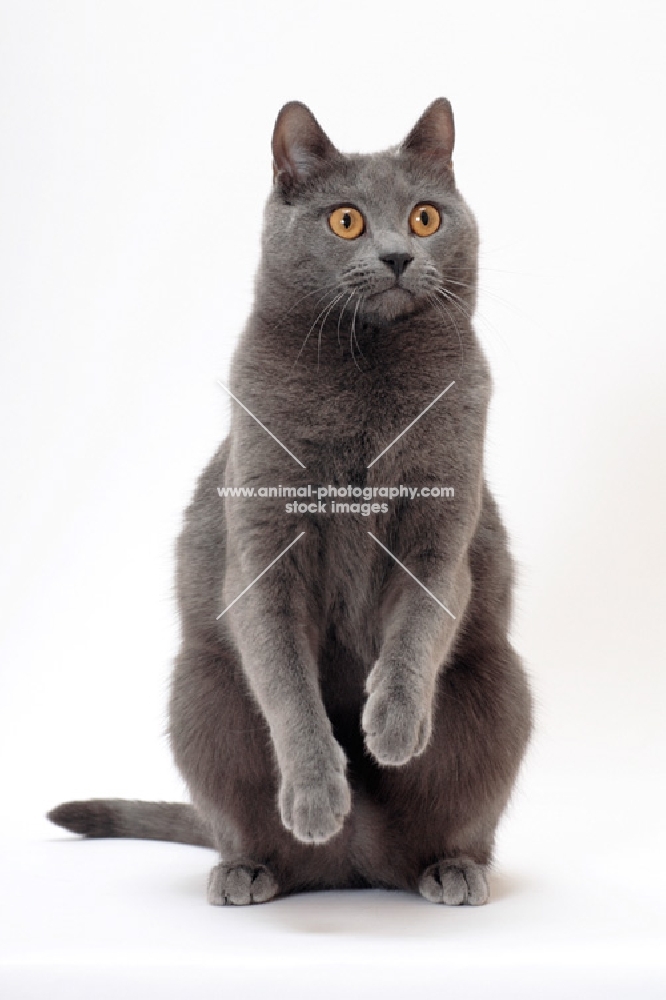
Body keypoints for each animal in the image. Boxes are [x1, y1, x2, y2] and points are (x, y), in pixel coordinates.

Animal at [49, 95, 532, 908]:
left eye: (426, 216)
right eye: (346, 221)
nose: (398, 255)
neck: (367, 371)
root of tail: (358, 866)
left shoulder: (443, 526)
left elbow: (419, 625)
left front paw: (391, 728)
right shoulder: (262, 544)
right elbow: (284, 677)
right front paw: (314, 793)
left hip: (501, 688)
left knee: (464, 824)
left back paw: (451, 870)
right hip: (198, 691)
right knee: (242, 822)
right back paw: (249, 869)